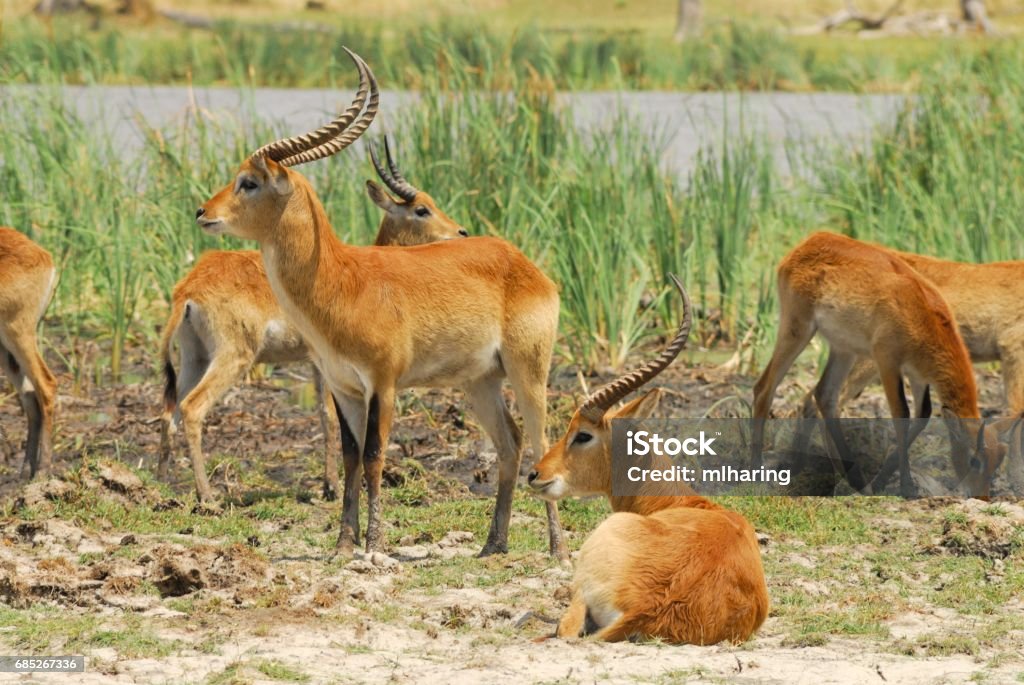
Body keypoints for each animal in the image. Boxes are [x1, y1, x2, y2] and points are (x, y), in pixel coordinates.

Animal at [157, 139, 466, 501]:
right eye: (422, 210)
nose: (462, 232)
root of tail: (188, 289)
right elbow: (331, 417)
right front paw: (333, 486)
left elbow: (323, 414)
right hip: (233, 356)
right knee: (192, 408)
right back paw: (207, 495)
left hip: (196, 357)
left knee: (170, 409)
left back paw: (163, 484)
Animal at [192, 49, 569, 561]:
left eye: (247, 182)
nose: (203, 213)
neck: (340, 281)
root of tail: (523, 262)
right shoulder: (343, 386)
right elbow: (351, 457)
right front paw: (342, 544)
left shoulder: (383, 384)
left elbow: (374, 456)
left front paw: (374, 544)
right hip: (479, 381)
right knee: (510, 441)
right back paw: (493, 545)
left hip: (528, 369)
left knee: (540, 440)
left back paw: (557, 550)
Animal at [753, 229, 1007, 497]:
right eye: (975, 460)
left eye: (998, 461)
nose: (982, 497)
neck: (924, 314)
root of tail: (811, 240)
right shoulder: (887, 360)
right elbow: (901, 414)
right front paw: (907, 486)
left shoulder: (918, 374)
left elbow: (923, 415)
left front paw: (881, 480)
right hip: (797, 328)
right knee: (764, 388)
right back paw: (758, 472)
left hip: (843, 348)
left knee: (824, 395)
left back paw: (853, 479)